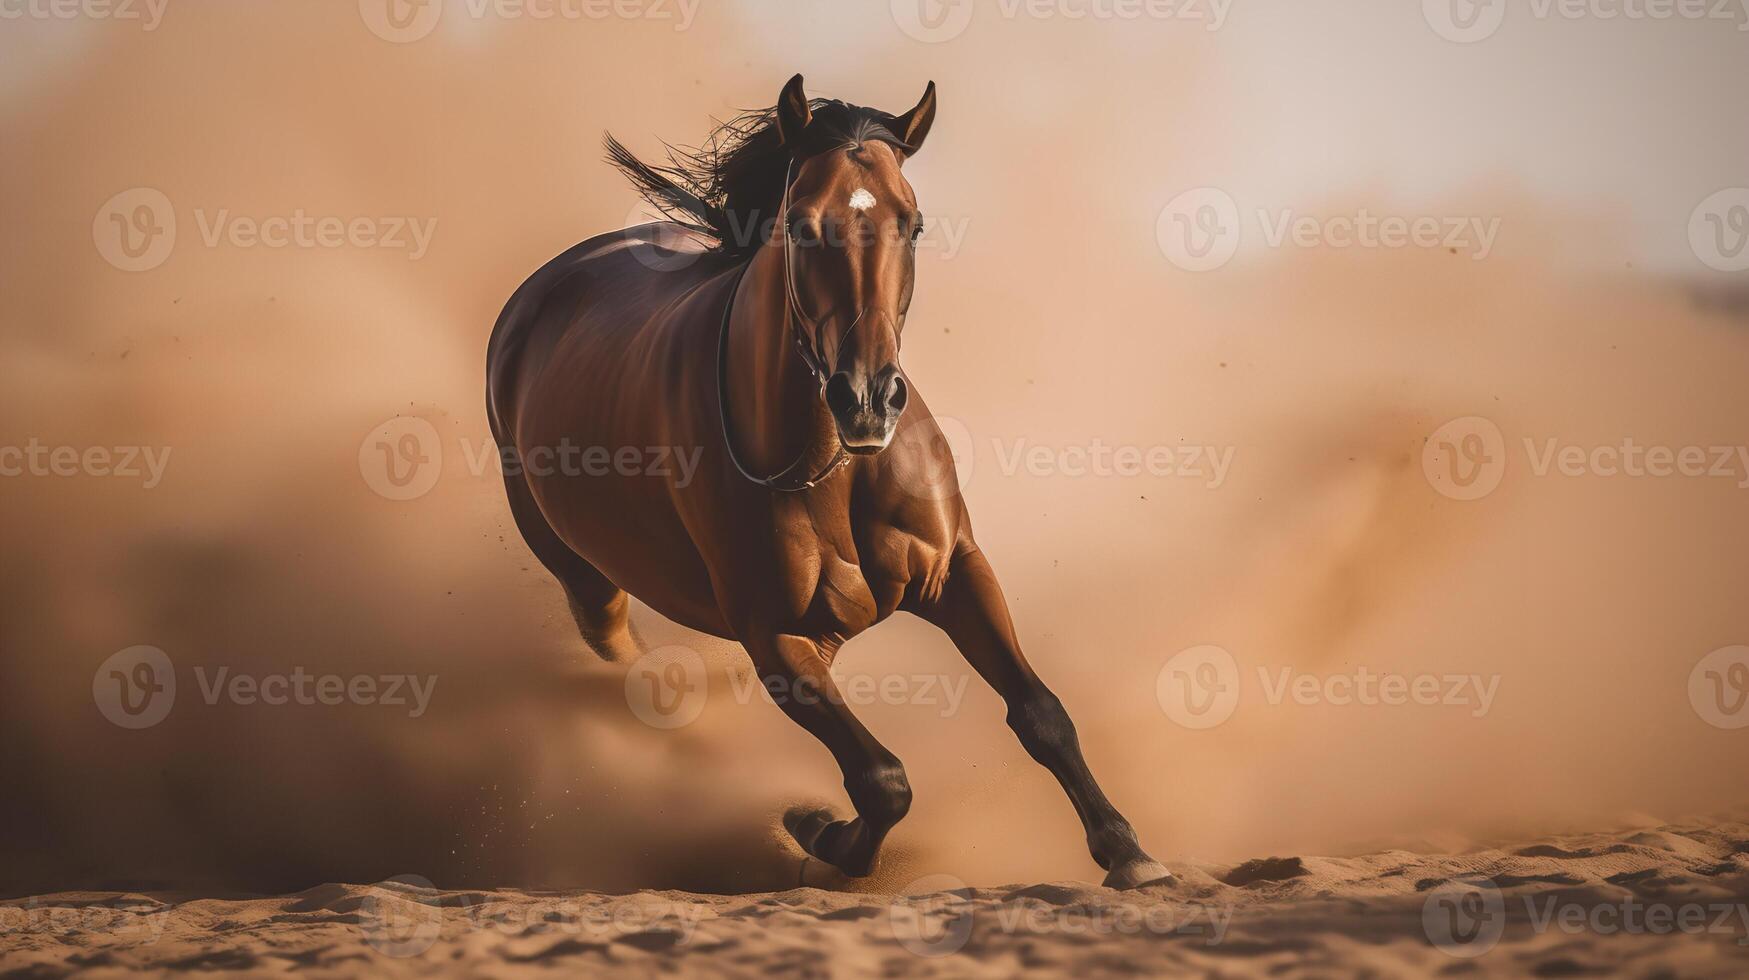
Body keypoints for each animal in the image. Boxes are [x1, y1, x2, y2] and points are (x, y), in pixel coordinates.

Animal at [486, 76, 1168, 889]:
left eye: (913, 223)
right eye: (803, 226)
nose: (867, 397)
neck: (832, 464)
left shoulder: (957, 570)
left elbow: (1041, 715)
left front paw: (1128, 851)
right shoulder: (774, 636)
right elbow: (882, 780)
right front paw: (816, 830)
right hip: (584, 575)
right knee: (621, 652)